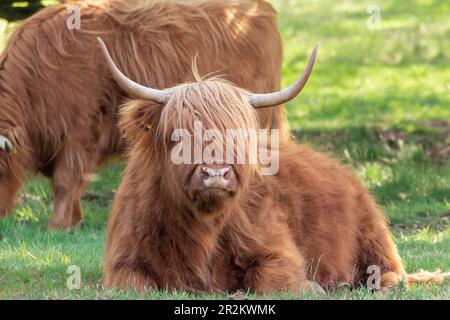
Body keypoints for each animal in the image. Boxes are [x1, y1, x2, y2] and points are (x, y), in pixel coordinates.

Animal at [98, 38, 446, 294]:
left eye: (238, 135)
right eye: (177, 134)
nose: (216, 174)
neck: (202, 229)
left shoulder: (279, 251)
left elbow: (266, 281)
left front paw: (312, 287)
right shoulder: (122, 262)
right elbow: (136, 285)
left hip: (373, 233)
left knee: (390, 271)